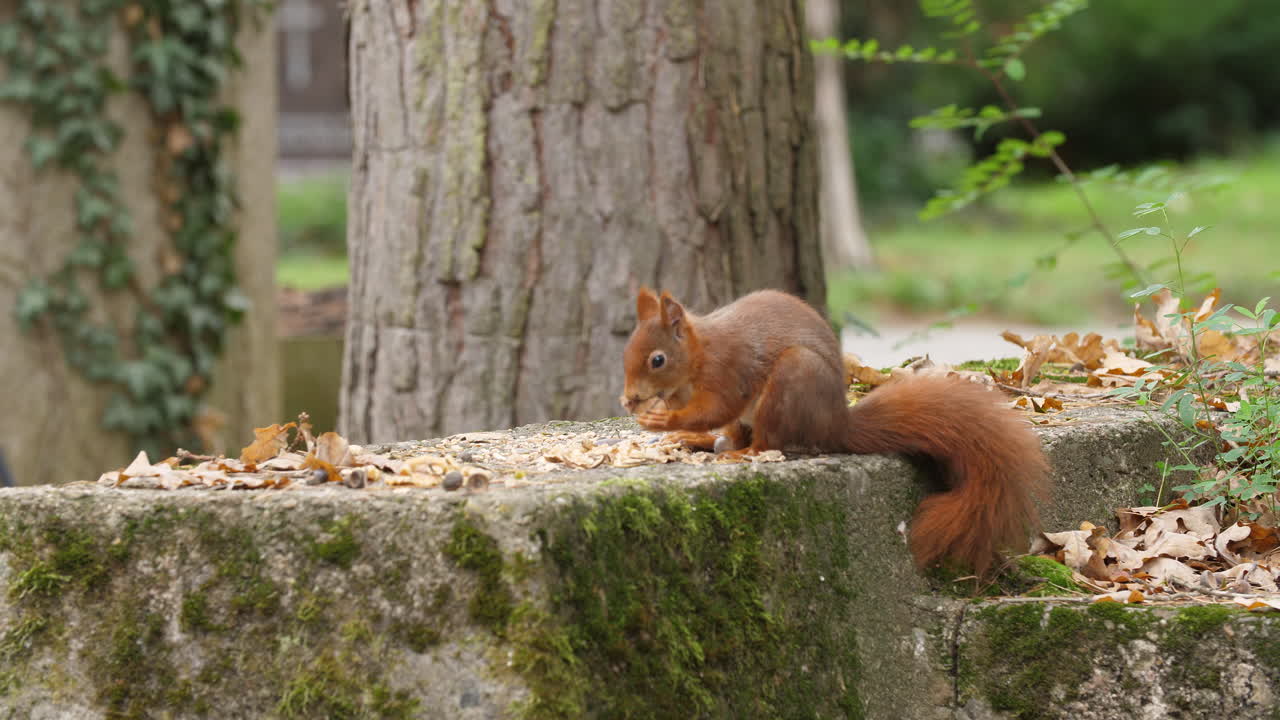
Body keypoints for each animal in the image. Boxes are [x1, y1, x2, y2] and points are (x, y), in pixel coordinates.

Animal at [620, 288, 1049, 576]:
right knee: (737, 433)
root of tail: (836, 424)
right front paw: (670, 423)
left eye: (657, 360)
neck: (698, 355)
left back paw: (742, 453)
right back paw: (703, 442)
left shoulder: (730, 370)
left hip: (791, 381)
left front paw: (664, 420)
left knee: (767, 442)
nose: (628, 400)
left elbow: (714, 407)